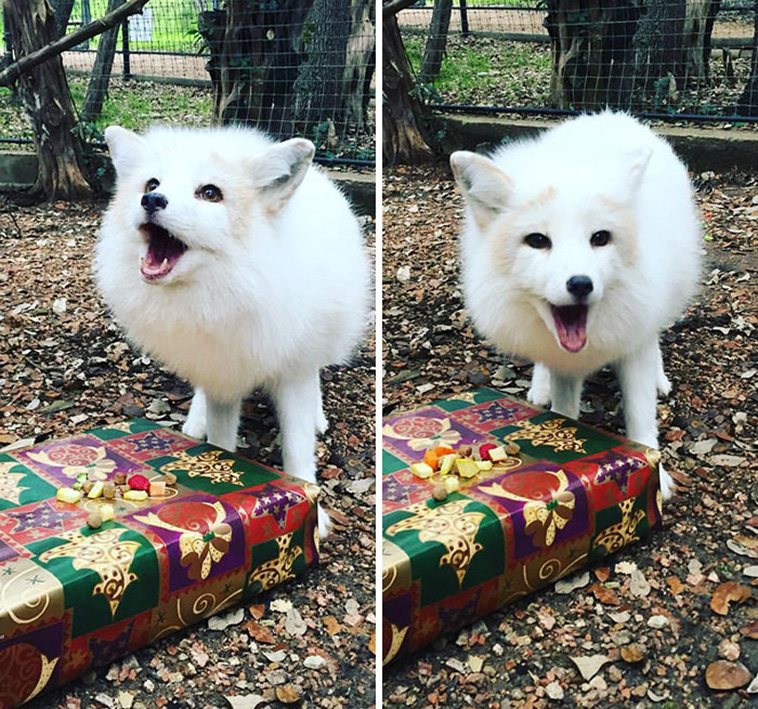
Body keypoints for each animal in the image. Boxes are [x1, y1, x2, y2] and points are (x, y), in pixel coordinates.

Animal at [95, 125, 371, 537]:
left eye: (210, 193)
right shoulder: (220, 372)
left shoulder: (293, 373)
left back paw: (318, 416)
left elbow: (297, 450)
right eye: (152, 182)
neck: (231, 289)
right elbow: (220, 440)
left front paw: (315, 515)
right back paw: (194, 421)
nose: (152, 199)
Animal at [450, 112, 702, 498]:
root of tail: (610, 114)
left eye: (600, 238)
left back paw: (660, 377)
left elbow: (641, 419)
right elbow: (563, 409)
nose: (581, 284)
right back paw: (539, 387)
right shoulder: (563, 361)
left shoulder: (634, 340)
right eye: (537, 241)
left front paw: (655, 478)